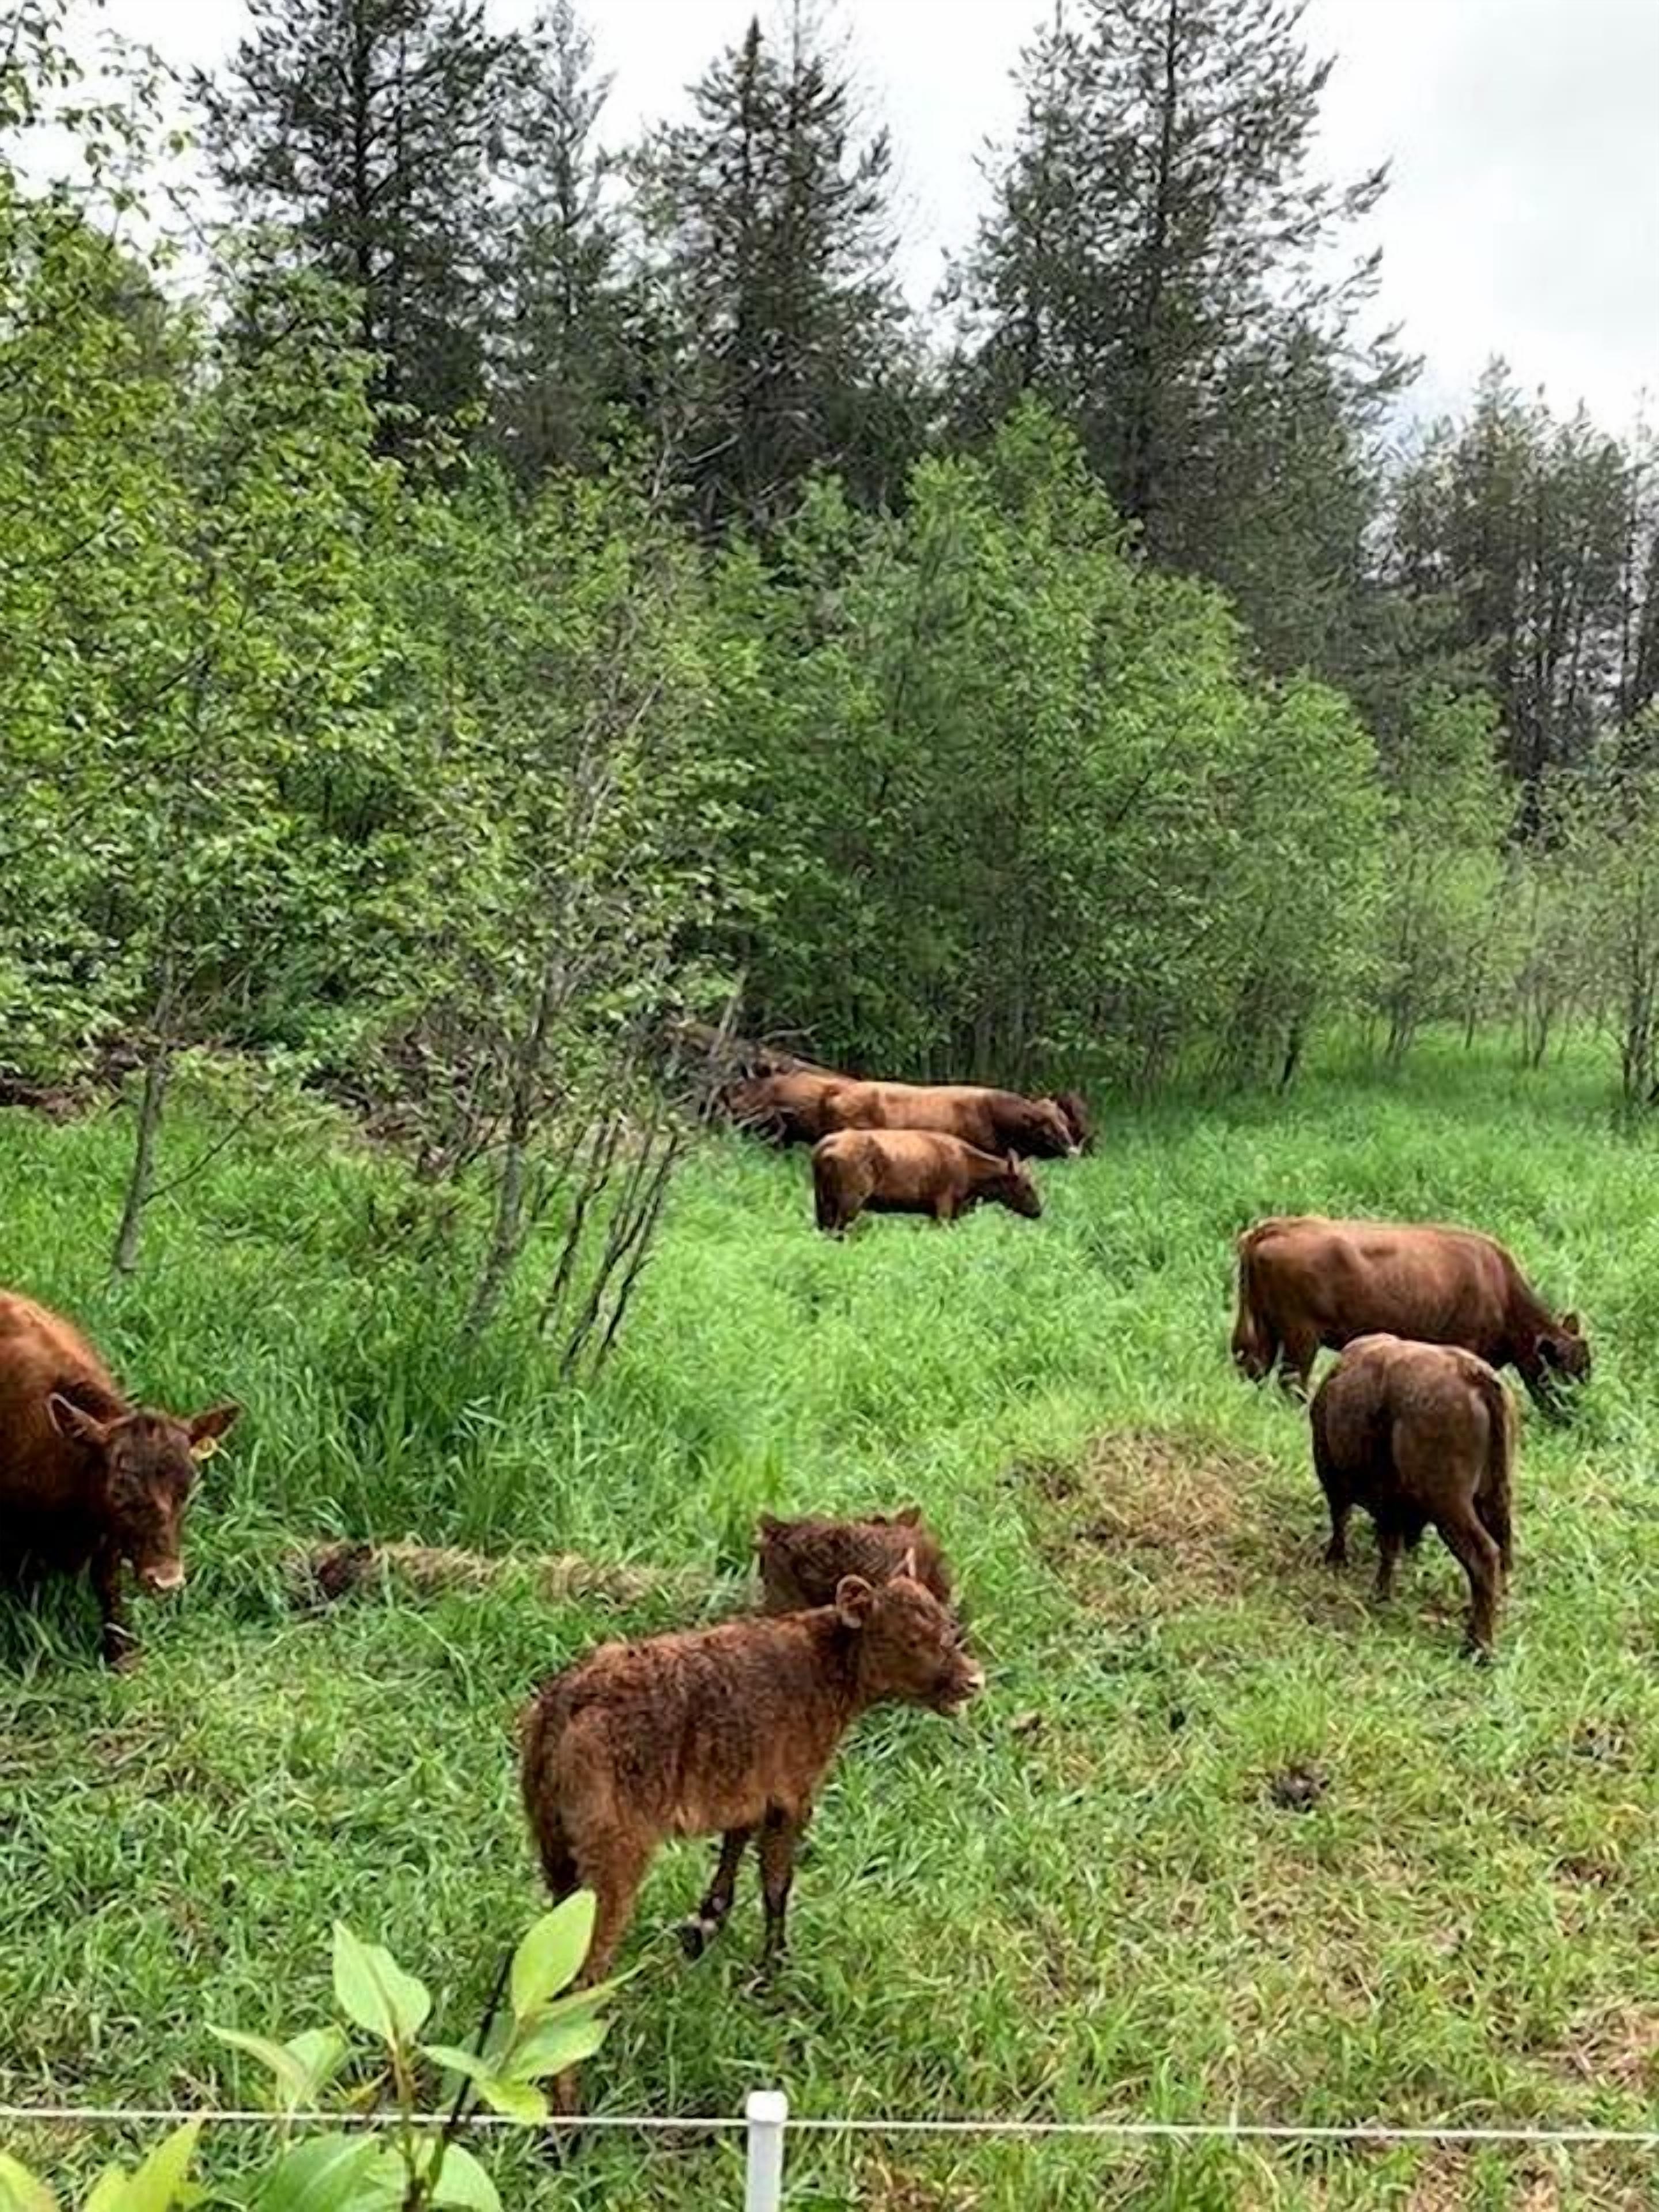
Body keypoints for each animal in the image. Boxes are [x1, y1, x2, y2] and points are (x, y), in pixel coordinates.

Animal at [0, 1291, 239, 1667]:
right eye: (118, 1492)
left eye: (187, 1488)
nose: (167, 1580)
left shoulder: (108, 1538)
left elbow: (109, 1585)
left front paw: (122, 1653)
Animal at [519, 1563, 983, 2109]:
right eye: (912, 1638)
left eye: (949, 1627)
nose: (974, 1679)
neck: (827, 1668)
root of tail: (566, 1705)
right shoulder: (792, 1794)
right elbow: (777, 1884)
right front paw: (773, 1972)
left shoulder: (748, 1787)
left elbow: (734, 1845)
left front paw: (705, 1924)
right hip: (614, 1856)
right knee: (584, 1971)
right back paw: (569, 2109)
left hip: (554, 1844)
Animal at [811, 1130, 1042, 1234]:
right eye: (1027, 1185)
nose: (1038, 1211)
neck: (968, 1163)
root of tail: (824, 1147)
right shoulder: (944, 1209)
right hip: (849, 1204)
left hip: (824, 1204)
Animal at [1231, 1215, 1588, 1412]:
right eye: (1568, 1372)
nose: (1579, 1414)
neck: (1500, 1287)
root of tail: (1276, 1227)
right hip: (1301, 1336)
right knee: (1291, 1380)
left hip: (1264, 1329)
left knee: (1255, 1368)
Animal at [1310, 1333, 1517, 1657]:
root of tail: (1472, 1374)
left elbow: (1346, 1521)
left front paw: (1340, 1562)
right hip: (1495, 1496)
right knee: (1504, 1548)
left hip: (1449, 1505)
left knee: (1484, 1556)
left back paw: (1478, 1646)